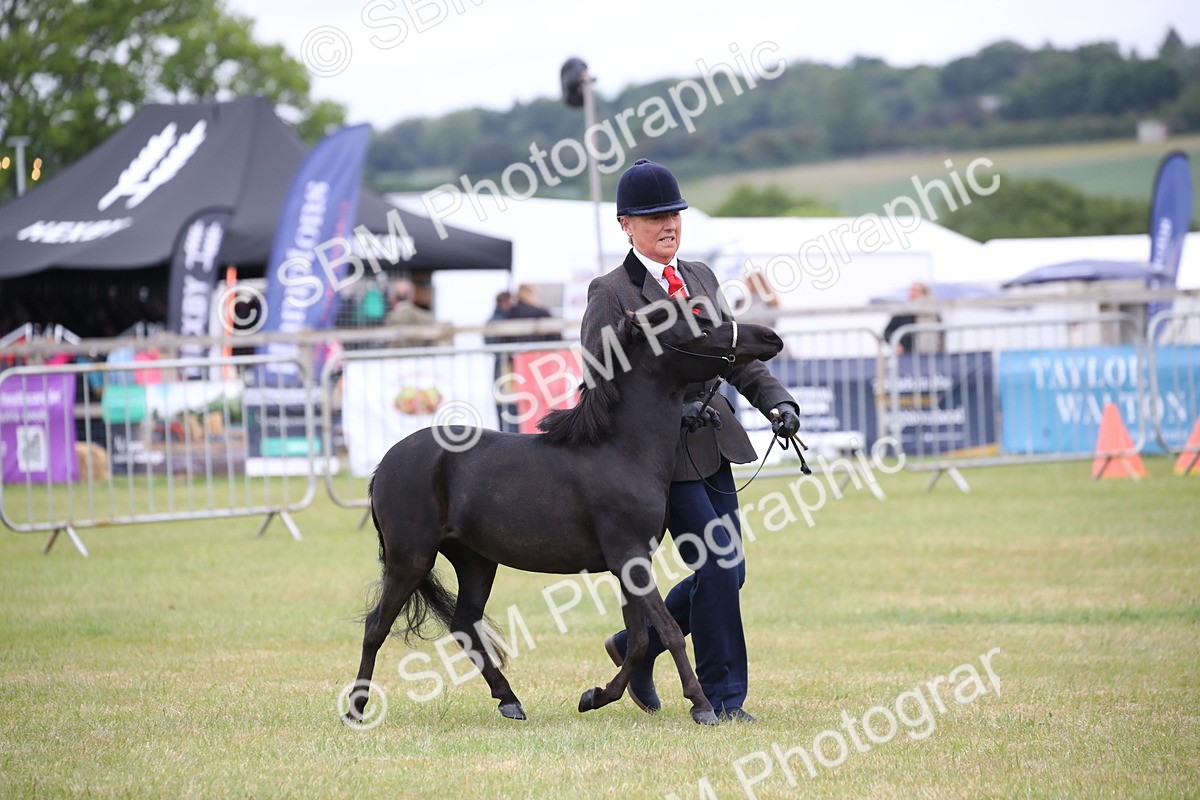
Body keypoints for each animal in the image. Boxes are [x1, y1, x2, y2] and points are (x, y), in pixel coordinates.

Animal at [344, 301, 784, 726]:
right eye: (700, 329)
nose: (770, 337)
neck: (622, 450)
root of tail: (385, 463)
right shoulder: (630, 558)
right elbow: (670, 630)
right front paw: (701, 705)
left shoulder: (629, 564)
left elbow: (639, 640)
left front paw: (595, 697)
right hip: (411, 559)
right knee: (376, 626)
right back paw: (356, 708)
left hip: (475, 561)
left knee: (464, 624)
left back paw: (510, 701)